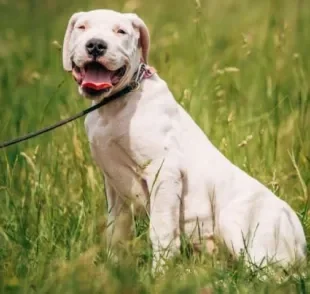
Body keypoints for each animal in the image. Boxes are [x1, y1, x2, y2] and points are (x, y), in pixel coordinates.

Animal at [61, 8, 306, 272]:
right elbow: (116, 231)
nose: (96, 45)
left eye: (121, 31)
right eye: (82, 27)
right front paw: (113, 269)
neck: (117, 104)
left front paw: (158, 274)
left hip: (237, 223)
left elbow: (161, 231)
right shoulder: (115, 186)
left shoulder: (164, 172)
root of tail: (299, 237)